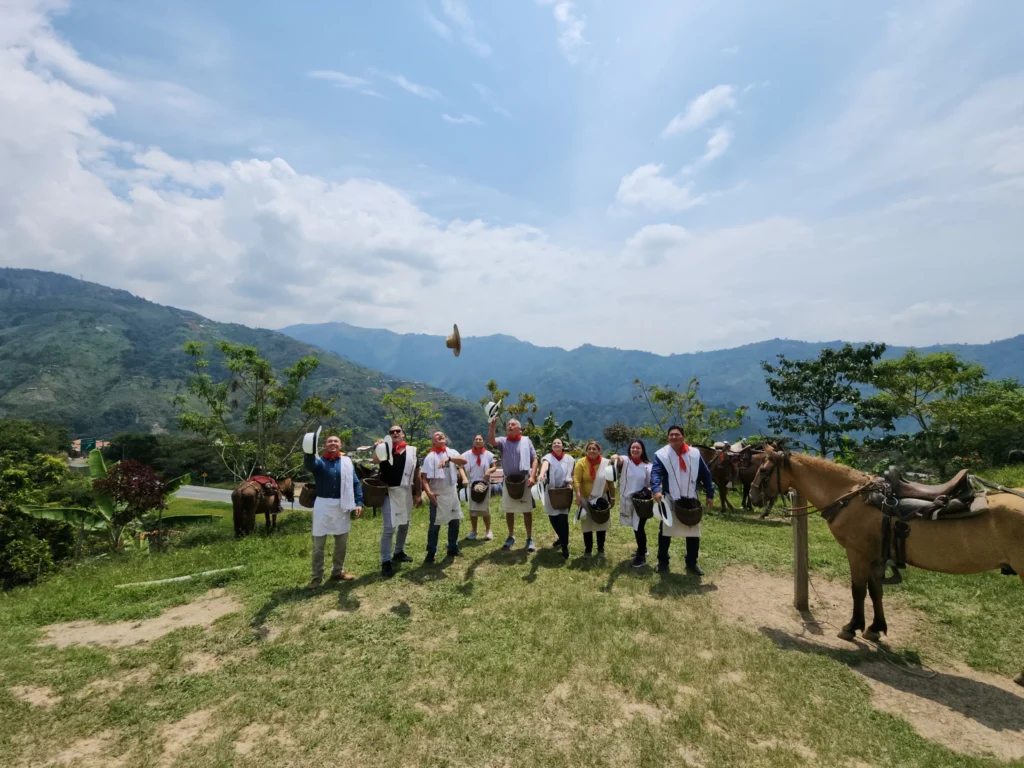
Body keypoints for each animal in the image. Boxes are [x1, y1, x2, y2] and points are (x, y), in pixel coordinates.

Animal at [745, 448, 1024, 688]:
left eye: (764, 470)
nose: (753, 497)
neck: (849, 496)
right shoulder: (877, 557)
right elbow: (876, 591)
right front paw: (875, 628)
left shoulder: (857, 553)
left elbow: (858, 590)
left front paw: (852, 627)